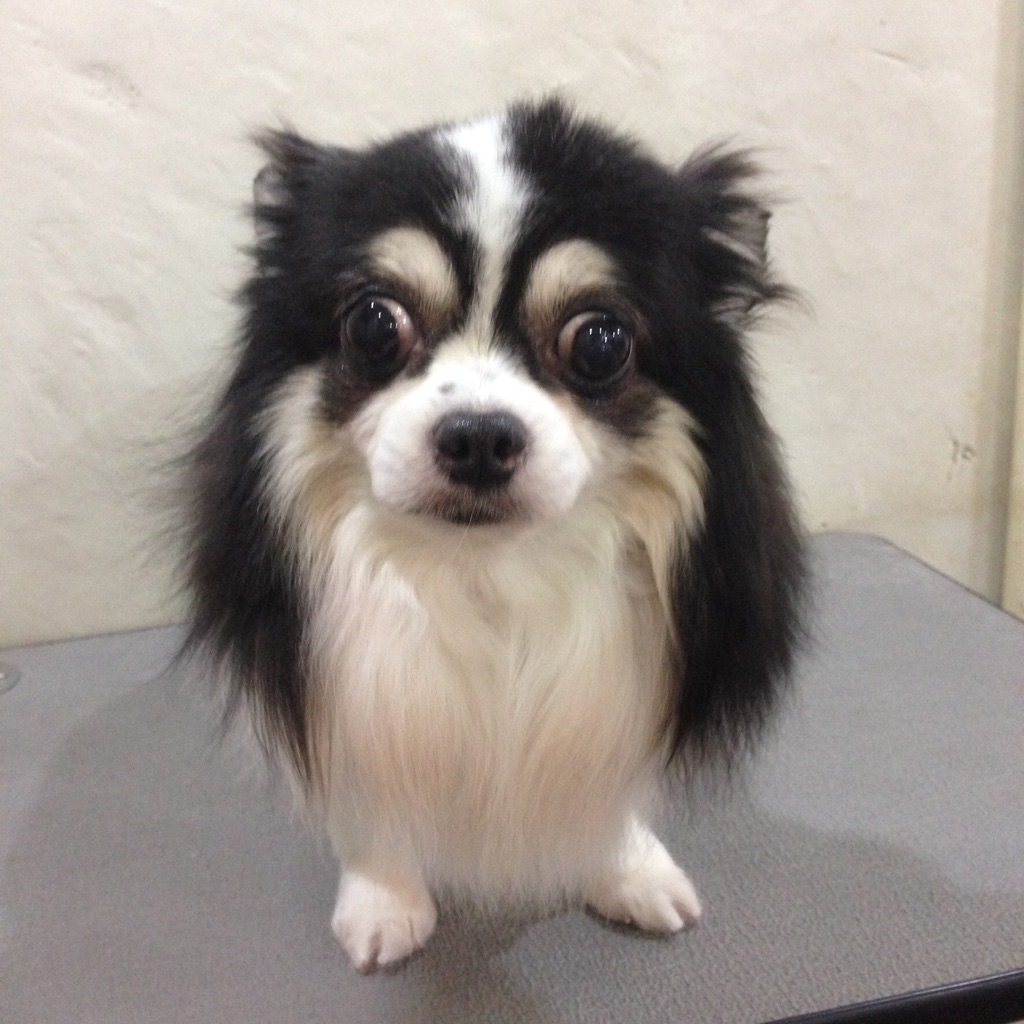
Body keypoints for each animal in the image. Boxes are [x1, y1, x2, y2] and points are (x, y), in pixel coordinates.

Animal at [180, 97, 805, 972]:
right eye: (374, 325)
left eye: (600, 341)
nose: (477, 436)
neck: (488, 578)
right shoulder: (356, 691)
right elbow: (372, 793)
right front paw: (384, 897)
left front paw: (627, 868)